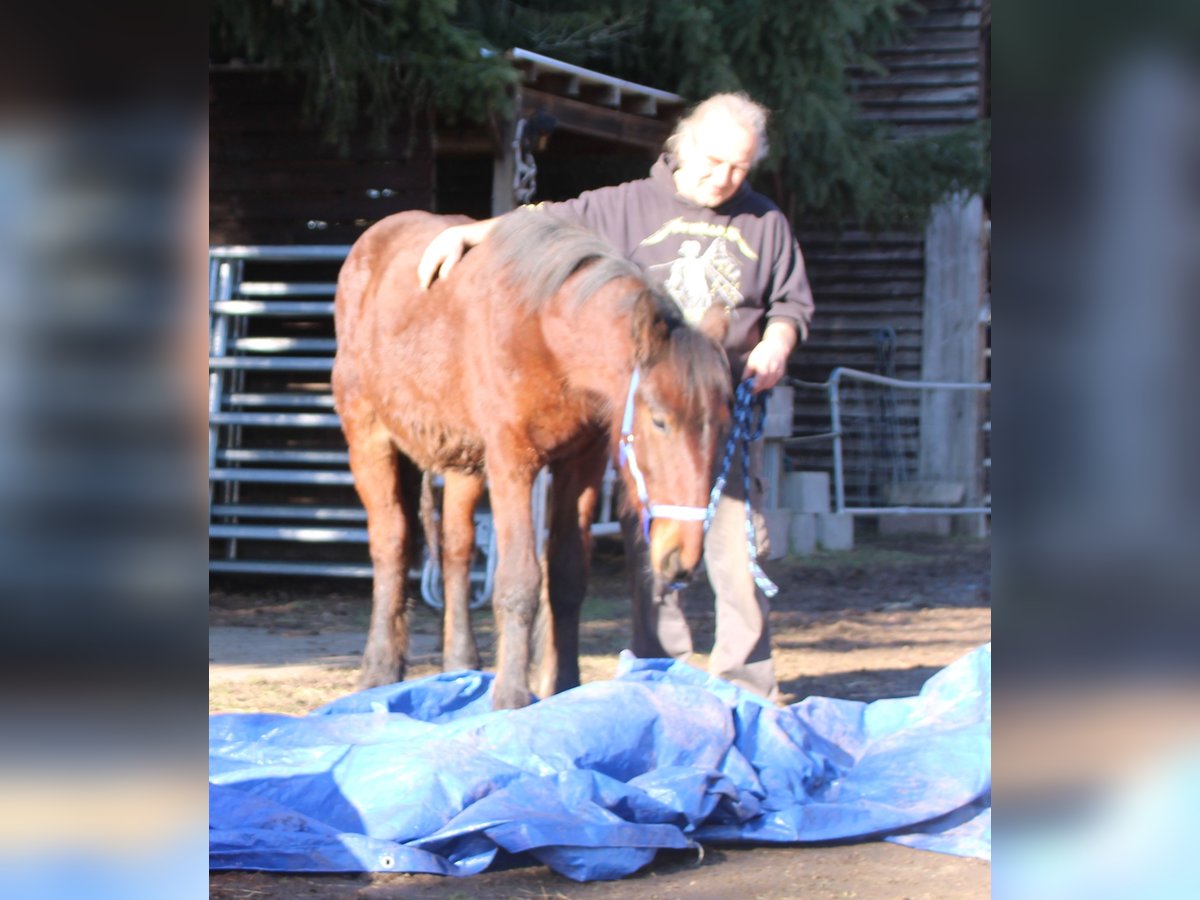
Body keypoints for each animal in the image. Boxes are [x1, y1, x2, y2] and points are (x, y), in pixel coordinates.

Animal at [336, 210, 729, 710]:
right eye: (659, 420)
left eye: (725, 423)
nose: (682, 557)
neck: (545, 334)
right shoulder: (513, 463)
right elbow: (520, 580)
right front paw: (511, 697)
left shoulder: (580, 465)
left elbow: (565, 577)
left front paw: (564, 686)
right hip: (370, 441)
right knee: (392, 544)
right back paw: (379, 670)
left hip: (463, 464)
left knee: (456, 550)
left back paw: (461, 664)